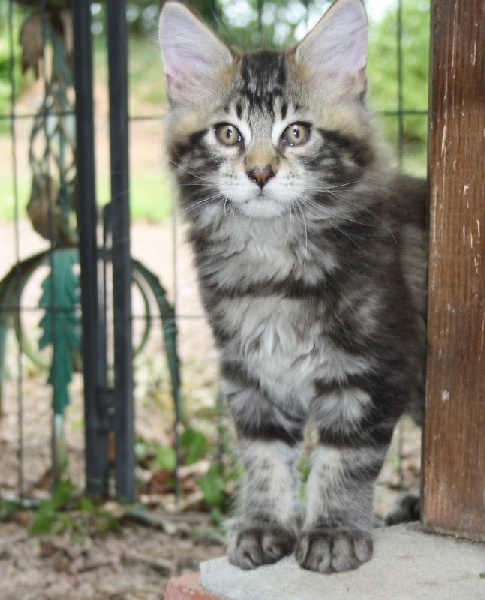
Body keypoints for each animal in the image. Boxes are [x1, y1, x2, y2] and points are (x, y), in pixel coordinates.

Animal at [157, 0, 426, 576]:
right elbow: (263, 457)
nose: (260, 173)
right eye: (228, 134)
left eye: (296, 133)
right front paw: (266, 524)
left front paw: (333, 531)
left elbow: (342, 461)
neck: (273, 266)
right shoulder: (249, 373)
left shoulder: (372, 369)